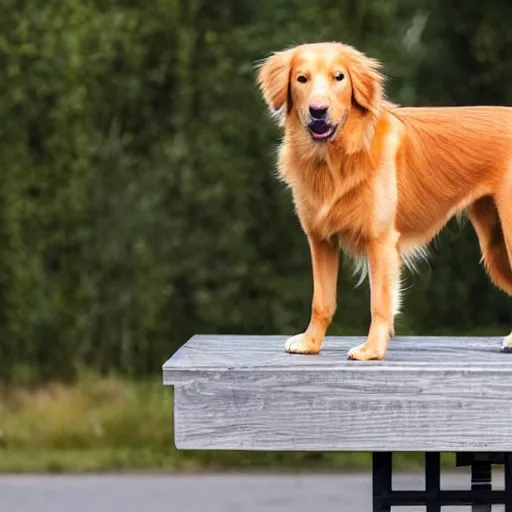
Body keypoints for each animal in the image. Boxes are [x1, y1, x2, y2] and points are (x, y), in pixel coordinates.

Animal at [256, 42, 512, 360]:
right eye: (301, 79)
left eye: (339, 77)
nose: (318, 111)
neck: (337, 158)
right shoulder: (321, 240)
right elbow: (321, 301)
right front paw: (311, 342)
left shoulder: (380, 241)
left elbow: (379, 302)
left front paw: (372, 350)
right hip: (495, 246)